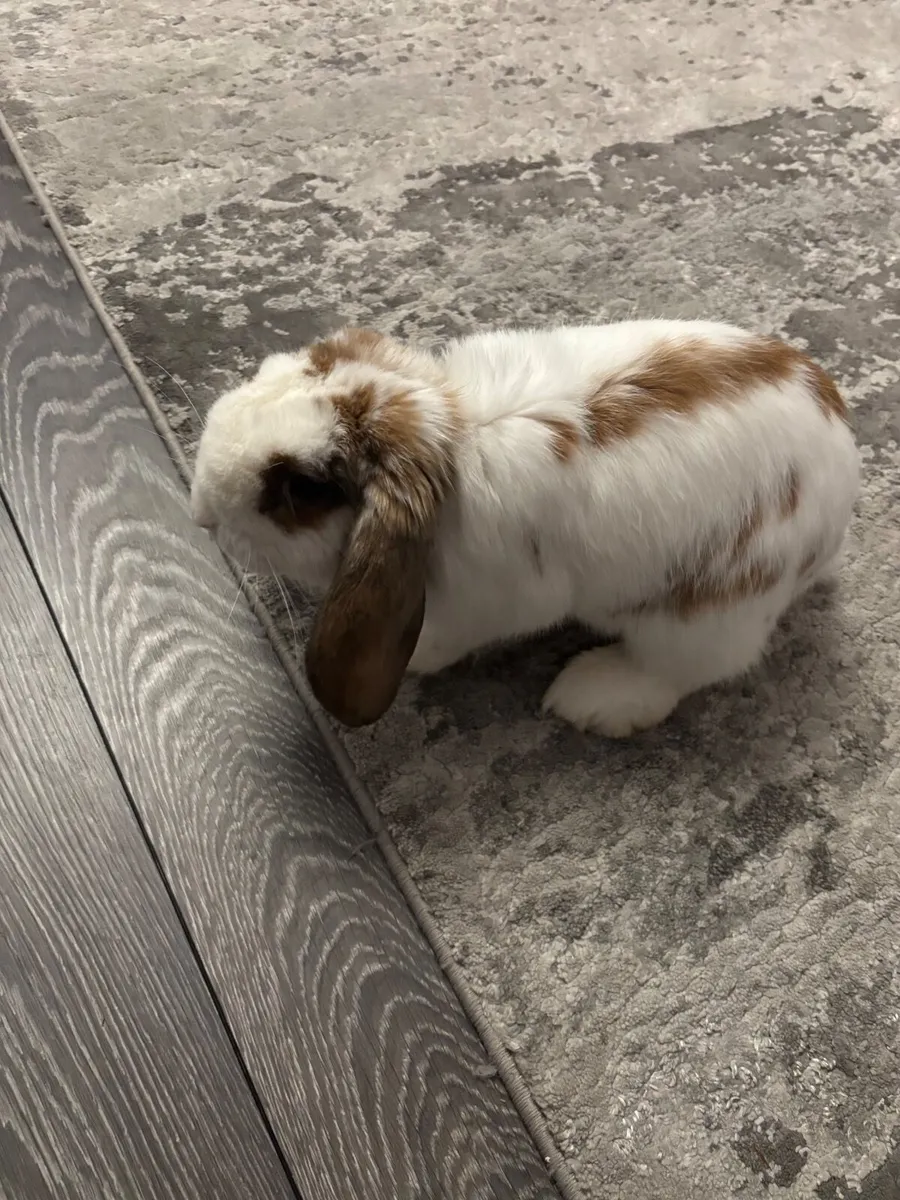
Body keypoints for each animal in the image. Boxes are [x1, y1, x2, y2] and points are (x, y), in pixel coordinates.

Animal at [190, 321, 860, 736]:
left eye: (300, 489)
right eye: (287, 367)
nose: (199, 511)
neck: (451, 436)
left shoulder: (478, 604)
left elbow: (438, 641)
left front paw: (416, 661)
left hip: (704, 617)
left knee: (688, 669)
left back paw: (590, 697)